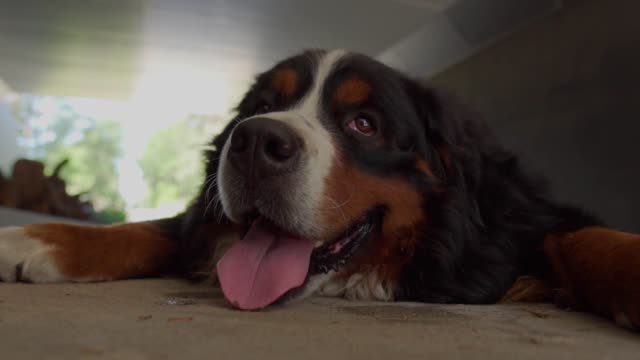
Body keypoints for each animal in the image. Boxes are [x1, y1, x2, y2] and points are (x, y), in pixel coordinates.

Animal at [1, 49, 640, 330]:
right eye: (261, 106)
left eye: (364, 124)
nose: (255, 140)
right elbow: (154, 230)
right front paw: (36, 239)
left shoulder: (527, 222)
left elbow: (584, 237)